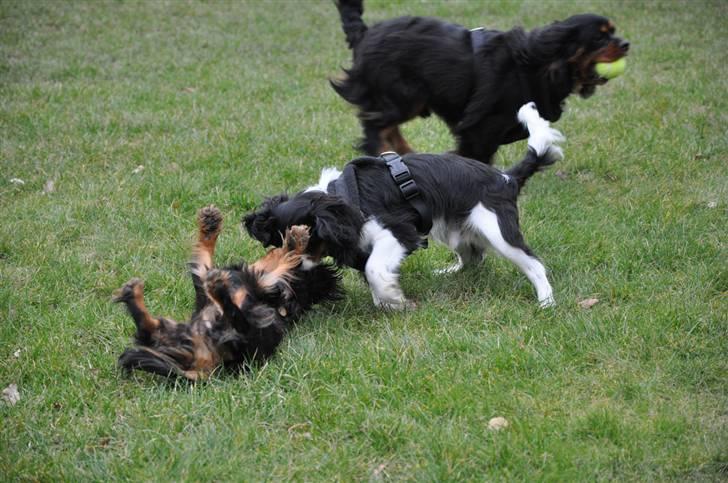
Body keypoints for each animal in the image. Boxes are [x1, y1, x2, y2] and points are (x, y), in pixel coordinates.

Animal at [113, 206, 342, 380]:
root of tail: (210, 365)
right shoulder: (205, 277)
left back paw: (217, 288)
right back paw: (133, 293)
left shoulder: (266, 282)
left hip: (250, 323)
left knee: (235, 316)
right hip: (174, 331)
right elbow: (204, 255)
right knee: (147, 329)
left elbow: (285, 260)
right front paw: (209, 224)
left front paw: (295, 241)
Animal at [247, 103, 564, 310]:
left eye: (307, 241)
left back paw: (546, 302)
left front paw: (392, 298)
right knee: (473, 258)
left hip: (497, 229)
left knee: (534, 264)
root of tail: (507, 178)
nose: (295, 268)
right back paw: (449, 272)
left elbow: (374, 268)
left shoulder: (398, 232)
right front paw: (385, 301)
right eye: (280, 245)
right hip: (456, 229)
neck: (342, 196)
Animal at [332, 0, 628, 163]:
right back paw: (380, 152)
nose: (626, 44)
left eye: (613, 32)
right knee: (375, 123)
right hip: (407, 94)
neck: (539, 64)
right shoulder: (481, 127)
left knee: (385, 124)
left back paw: (405, 153)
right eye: (600, 37)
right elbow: (478, 154)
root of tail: (365, 33)